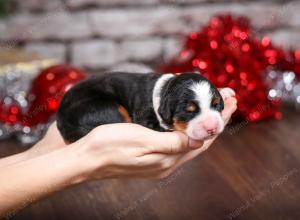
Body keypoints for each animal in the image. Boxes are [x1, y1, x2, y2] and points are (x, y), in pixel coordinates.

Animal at [56, 72, 234, 143]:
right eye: (189, 111)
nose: (212, 128)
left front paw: (225, 91)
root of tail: (61, 120)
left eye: (216, 105)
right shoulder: (145, 118)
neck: (164, 90)